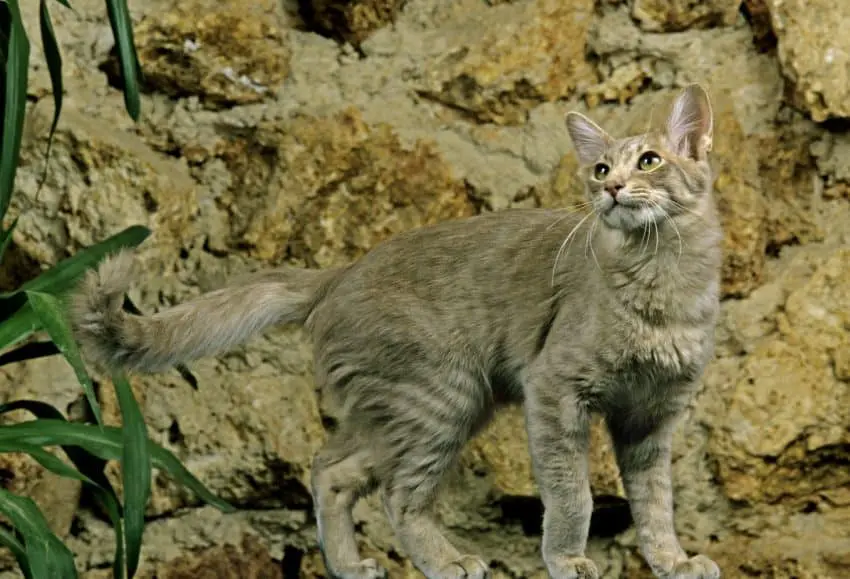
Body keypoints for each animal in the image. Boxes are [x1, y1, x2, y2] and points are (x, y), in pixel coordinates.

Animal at [74, 82, 724, 579]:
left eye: (649, 161)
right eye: (599, 168)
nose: (611, 188)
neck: (662, 283)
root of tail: (342, 272)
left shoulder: (651, 417)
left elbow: (655, 503)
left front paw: (672, 561)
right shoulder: (556, 390)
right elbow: (572, 496)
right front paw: (567, 561)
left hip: (411, 411)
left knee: (330, 471)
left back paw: (348, 567)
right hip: (441, 400)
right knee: (398, 495)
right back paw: (448, 562)